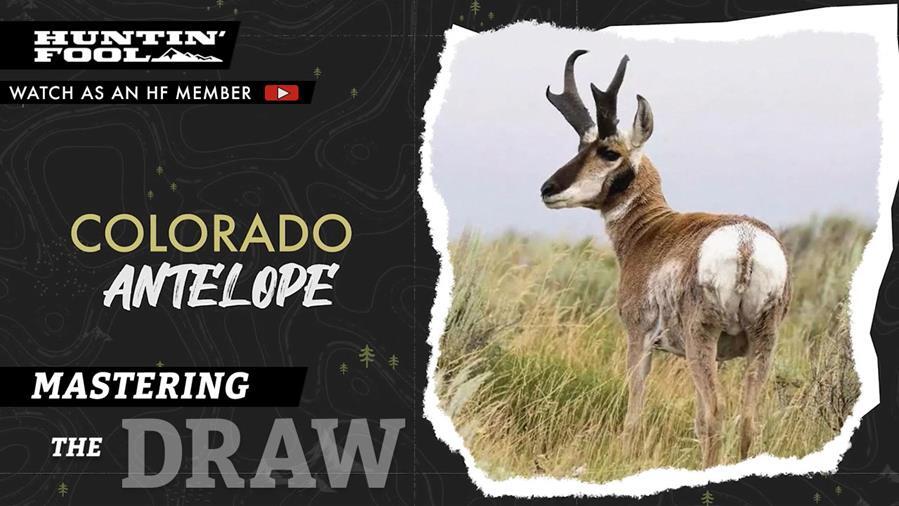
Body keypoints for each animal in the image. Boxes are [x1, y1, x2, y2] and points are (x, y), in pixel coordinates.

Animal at [540, 50, 791, 467]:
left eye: (608, 152)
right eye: (579, 148)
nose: (548, 189)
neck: (652, 229)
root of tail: (745, 243)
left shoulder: (638, 340)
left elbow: (634, 413)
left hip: (701, 339)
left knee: (714, 416)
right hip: (762, 342)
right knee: (747, 422)